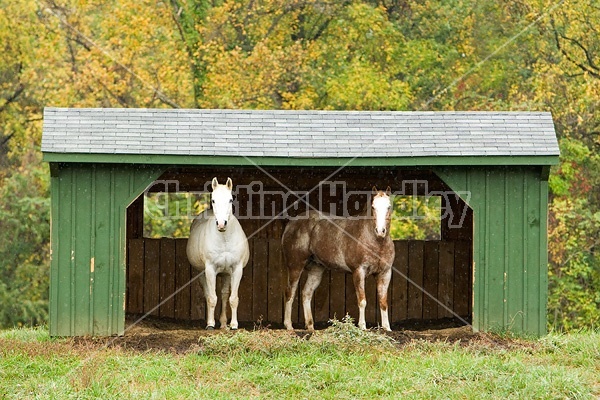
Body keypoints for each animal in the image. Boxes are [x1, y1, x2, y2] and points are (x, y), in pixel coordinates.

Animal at [284, 188, 396, 332]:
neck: (376, 242)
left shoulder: (385, 273)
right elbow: (362, 300)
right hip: (295, 266)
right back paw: (289, 326)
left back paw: (310, 326)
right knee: (290, 293)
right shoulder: (359, 272)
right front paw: (362, 326)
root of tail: (291, 224)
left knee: (306, 293)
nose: (380, 231)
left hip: (316, 270)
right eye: (373, 207)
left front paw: (387, 329)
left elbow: (383, 302)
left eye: (388, 207)